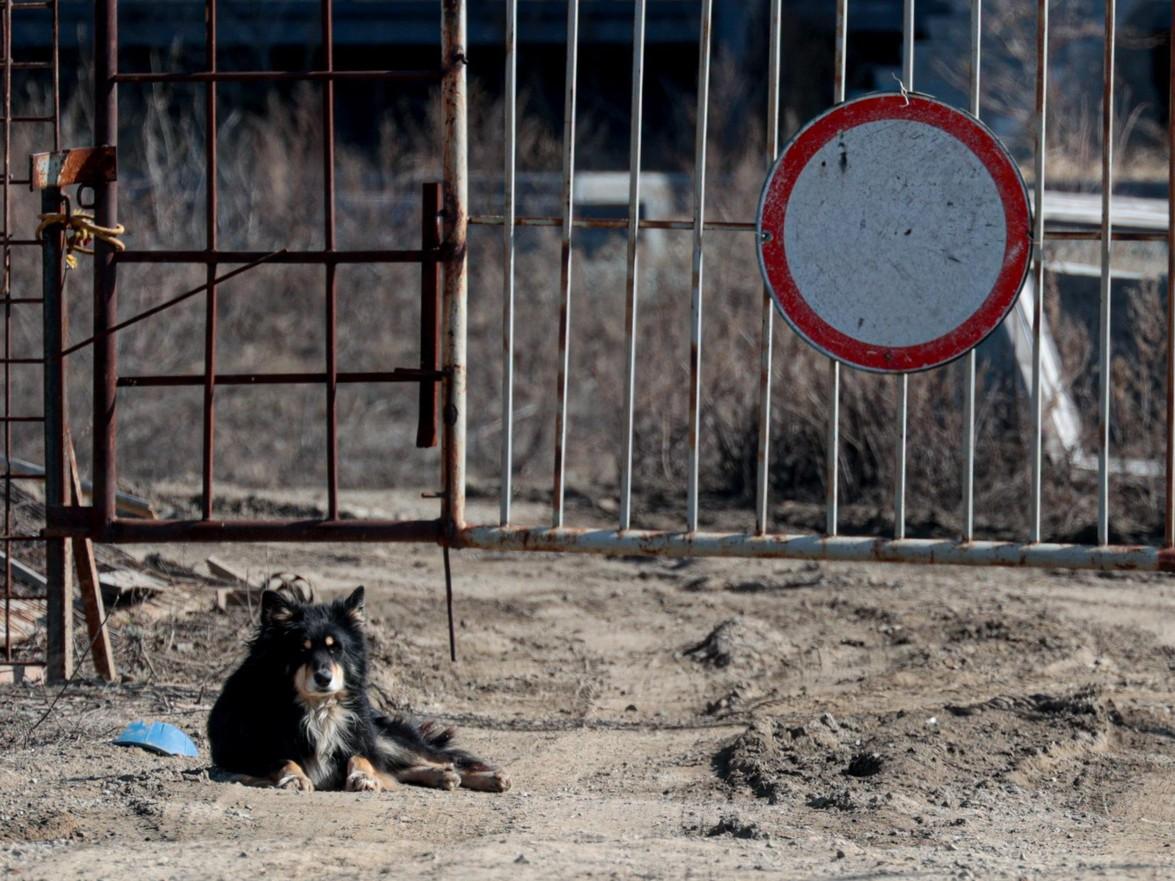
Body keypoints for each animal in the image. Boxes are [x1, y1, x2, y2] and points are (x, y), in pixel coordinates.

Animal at [207, 582, 509, 798]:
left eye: (336, 648)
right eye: (302, 649)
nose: (324, 678)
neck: (316, 707)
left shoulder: (359, 738)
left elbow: (361, 758)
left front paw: (363, 778)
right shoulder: (245, 754)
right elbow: (282, 760)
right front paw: (295, 778)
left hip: (386, 737)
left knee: (441, 759)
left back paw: (485, 777)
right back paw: (445, 776)